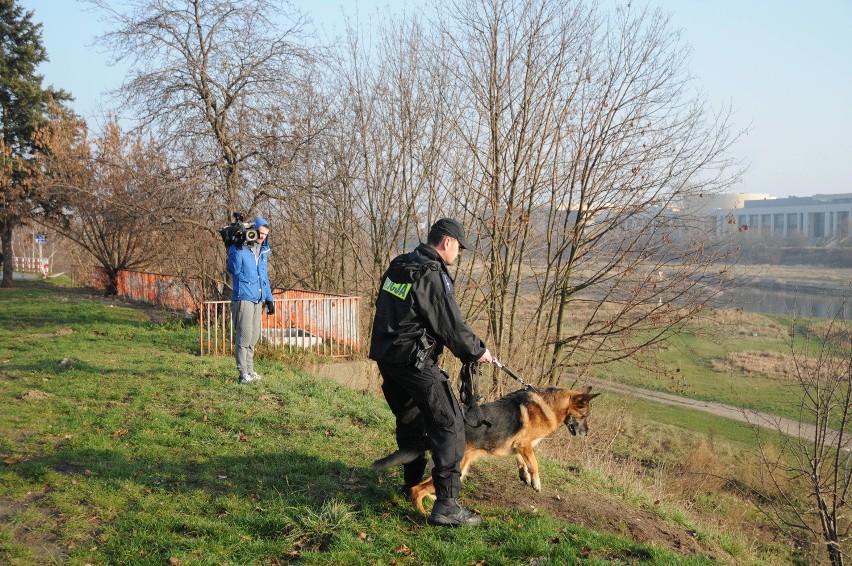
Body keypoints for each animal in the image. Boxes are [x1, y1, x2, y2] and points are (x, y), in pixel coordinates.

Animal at [372, 386, 600, 516]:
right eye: (584, 415)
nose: (587, 433)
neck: (550, 406)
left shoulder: (518, 446)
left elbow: (522, 460)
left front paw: (524, 475)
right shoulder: (525, 444)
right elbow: (535, 463)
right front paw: (536, 482)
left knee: (425, 485)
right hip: (459, 468)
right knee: (416, 489)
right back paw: (424, 514)